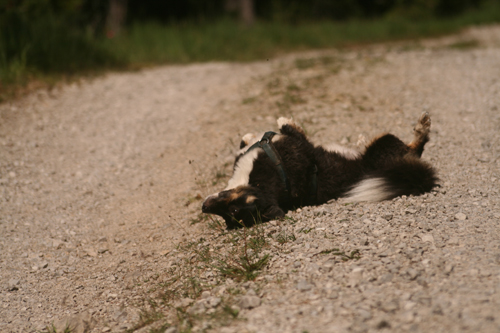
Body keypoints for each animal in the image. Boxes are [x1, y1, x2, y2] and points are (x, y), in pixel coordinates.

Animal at [202, 111, 438, 228]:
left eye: (232, 212)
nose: (204, 208)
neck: (258, 182)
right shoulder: (299, 145)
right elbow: (285, 129)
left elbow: (256, 136)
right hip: (383, 144)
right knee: (415, 147)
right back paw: (421, 126)